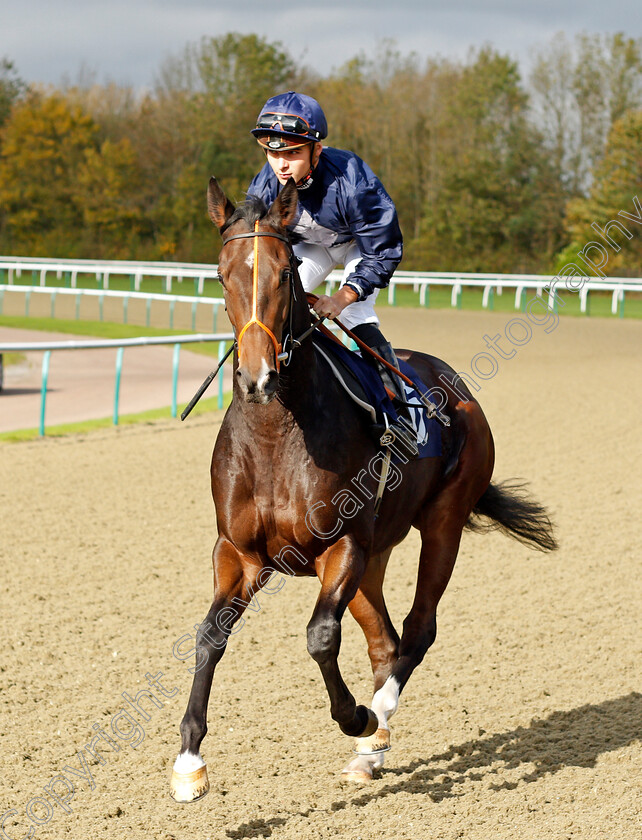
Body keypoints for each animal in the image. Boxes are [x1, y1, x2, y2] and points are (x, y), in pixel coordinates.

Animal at [170, 176, 556, 800]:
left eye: (283, 273)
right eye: (223, 274)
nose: (257, 378)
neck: (278, 434)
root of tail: (458, 387)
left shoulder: (342, 544)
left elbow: (320, 637)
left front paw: (357, 717)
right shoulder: (238, 553)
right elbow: (209, 636)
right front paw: (188, 762)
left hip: (442, 525)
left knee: (418, 630)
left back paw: (377, 721)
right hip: (376, 554)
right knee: (385, 639)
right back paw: (369, 752)